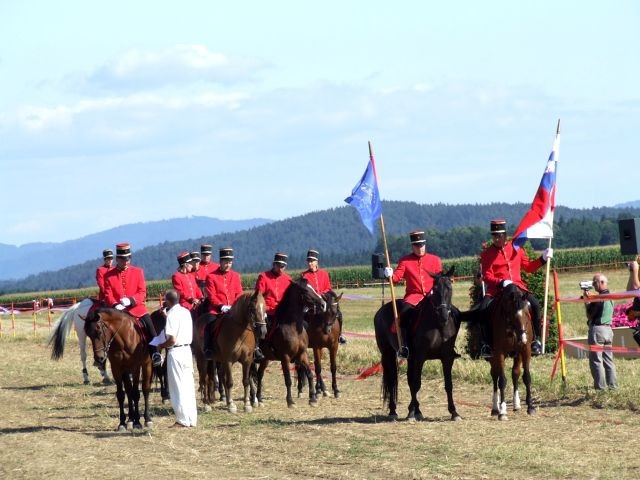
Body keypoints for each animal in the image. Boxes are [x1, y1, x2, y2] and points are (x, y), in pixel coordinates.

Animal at [254, 278, 324, 408]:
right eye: (305, 290)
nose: (322, 304)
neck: (293, 328)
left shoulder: (302, 354)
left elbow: (309, 374)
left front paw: (312, 398)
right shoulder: (285, 357)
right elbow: (288, 379)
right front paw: (290, 401)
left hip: (266, 358)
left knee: (260, 374)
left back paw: (259, 398)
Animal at [372, 268, 462, 422]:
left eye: (450, 288)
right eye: (434, 289)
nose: (444, 315)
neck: (438, 324)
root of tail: (382, 309)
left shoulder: (447, 358)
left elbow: (448, 384)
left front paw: (454, 412)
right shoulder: (420, 357)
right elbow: (416, 383)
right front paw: (413, 414)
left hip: (410, 358)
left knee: (408, 379)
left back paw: (415, 409)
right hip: (387, 353)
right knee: (392, 379)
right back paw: (394, 411)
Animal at [490, 284, 536, 420]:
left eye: (528, 312)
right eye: (513, 315)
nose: (523, 338)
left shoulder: (525, 350)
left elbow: (526, 377)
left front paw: (530, 407)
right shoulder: (499, 353)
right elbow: (502, 381)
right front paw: (503, 411)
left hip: (518, 354)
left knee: (515, 373)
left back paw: (516, 404)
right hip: (493, 358)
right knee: (495, 376)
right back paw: (495, 408)